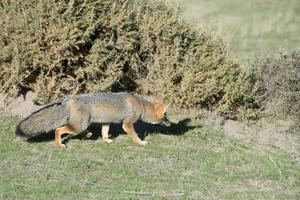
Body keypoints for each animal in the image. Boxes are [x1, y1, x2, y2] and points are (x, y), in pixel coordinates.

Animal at [15, 93, 171, 148]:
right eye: (165, 116)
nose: (170, 123)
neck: (141, 104)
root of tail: (70, 99)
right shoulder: (127, 124)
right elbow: (135, 136)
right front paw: (141, 142)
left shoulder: (106, 122)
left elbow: (105, 132)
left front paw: (106, 140)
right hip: (79, 125)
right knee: (58, 129)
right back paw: (60, 145)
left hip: (81, 123)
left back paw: (88, 134)